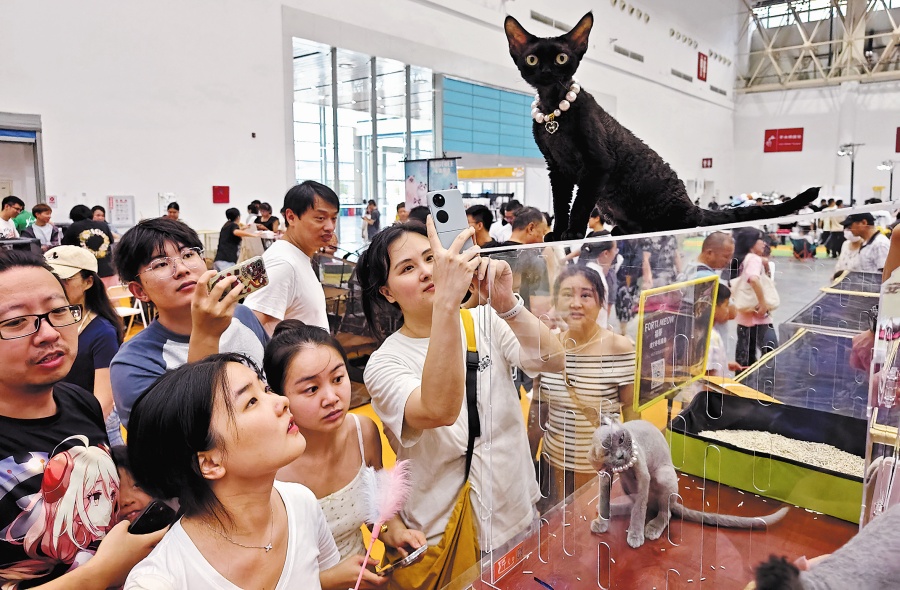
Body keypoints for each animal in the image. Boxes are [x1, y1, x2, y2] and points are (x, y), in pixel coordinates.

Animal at [502, 11, 820, 239]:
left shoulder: (597, 164)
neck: (554, 111)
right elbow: (560, 204)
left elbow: (579, 205)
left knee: (678, 223)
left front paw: (572, 233)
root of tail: (692, 205)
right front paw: (557, 232)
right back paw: (621, 229)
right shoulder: (557, 168)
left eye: (561, 58)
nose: (546, 72)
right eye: (532, 59)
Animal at [584, 416, 788, 552]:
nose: (621, 456)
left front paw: (635, 535)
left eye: (621, 439)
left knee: (663, 512)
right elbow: (606, 500)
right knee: (644, 504)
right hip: (627, 485)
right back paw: (616, 509)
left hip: (662, 475)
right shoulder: (605, 477)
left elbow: (639, 512)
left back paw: (652, 528)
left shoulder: (644, 477)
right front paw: (602, 522)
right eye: (607, 452)